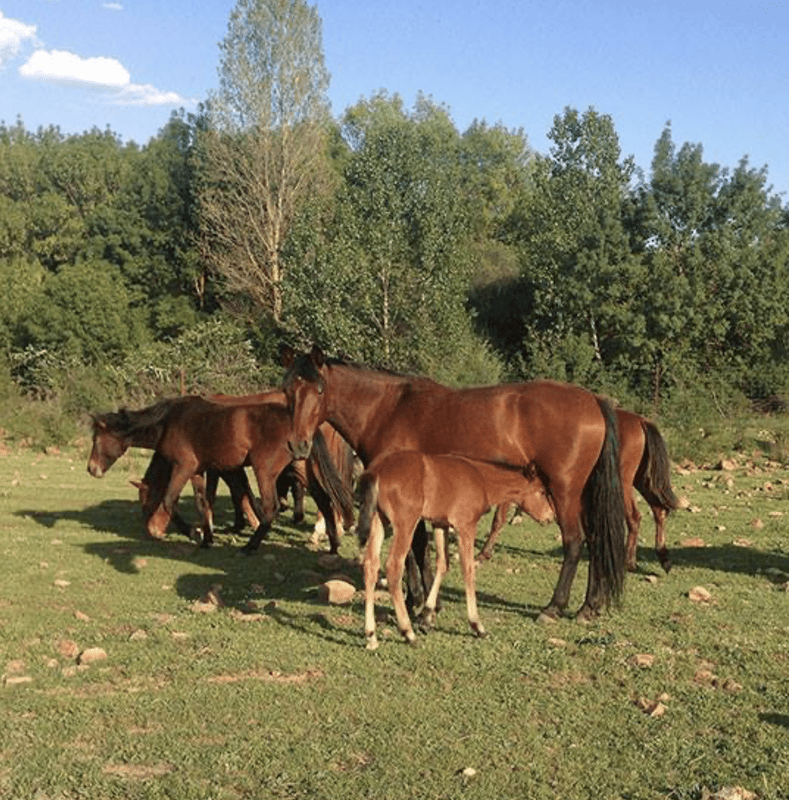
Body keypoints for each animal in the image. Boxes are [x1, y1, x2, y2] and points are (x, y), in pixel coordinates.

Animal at [88, 392, 354, 552]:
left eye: (97, 438)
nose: (92, 469)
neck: (169, 421)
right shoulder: (200, 471)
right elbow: (204, 502)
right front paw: (208, 537)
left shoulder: (185, 467)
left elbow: (170, 501)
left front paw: (194, 532)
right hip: (302, 469)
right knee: (325, 500)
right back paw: (332, 543)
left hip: (266, 471)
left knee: (273, 506)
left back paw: (251, 546)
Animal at [284, 342, 628, 620]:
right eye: (288, 390)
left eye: (318, 391)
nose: (298, 445)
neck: (388, 411)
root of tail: (595, 401)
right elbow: (418, 549)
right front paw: (421, 600)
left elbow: (414, 549)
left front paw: (419, 601)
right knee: (596, 540)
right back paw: (589, 607)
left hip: (564, 491)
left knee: (574, 542)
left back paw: (554, 607)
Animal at [354, 450, 552, 648]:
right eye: (542, 492)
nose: (550, 517)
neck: (481, 479)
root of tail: (378, 471)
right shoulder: (465, 527)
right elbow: (468, 570)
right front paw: (477, 625)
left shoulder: (440, 524)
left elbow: (443, 564)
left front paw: (427, 616)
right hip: (405, 523)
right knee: (393, 566)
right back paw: (408, 633)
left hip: (379, 520)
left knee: (370, 564)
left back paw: (371, 635)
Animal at [478, 410, 676, 572]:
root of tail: (640, 420)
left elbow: (499, 518)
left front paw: (484, 552)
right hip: (641, 479)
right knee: (659, 510)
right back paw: (663, 558)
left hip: (623, 482)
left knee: (635, 517)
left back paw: (629, 562)